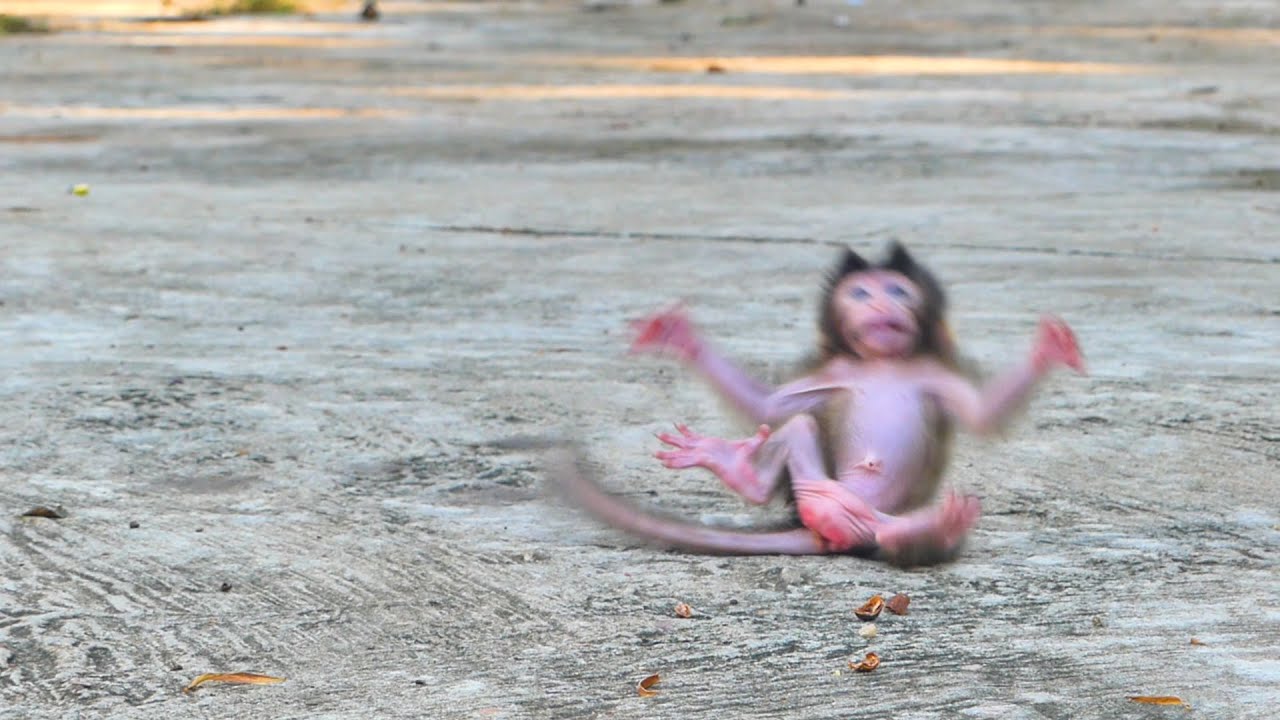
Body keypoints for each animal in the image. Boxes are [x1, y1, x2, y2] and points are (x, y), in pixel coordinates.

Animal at [544, 243, 1084, 564]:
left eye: (898, 289)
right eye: (860, 293)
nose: (881, 305)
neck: (880, 363)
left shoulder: (933, 372)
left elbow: (983, 416)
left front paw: (1047, 350)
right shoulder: (835, 372)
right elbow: (769, 408)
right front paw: (682, 339)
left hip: (885, 520)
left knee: (897, 538)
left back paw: (933, 531)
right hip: (826, 486)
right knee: (799, 428)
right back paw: (756, 478)